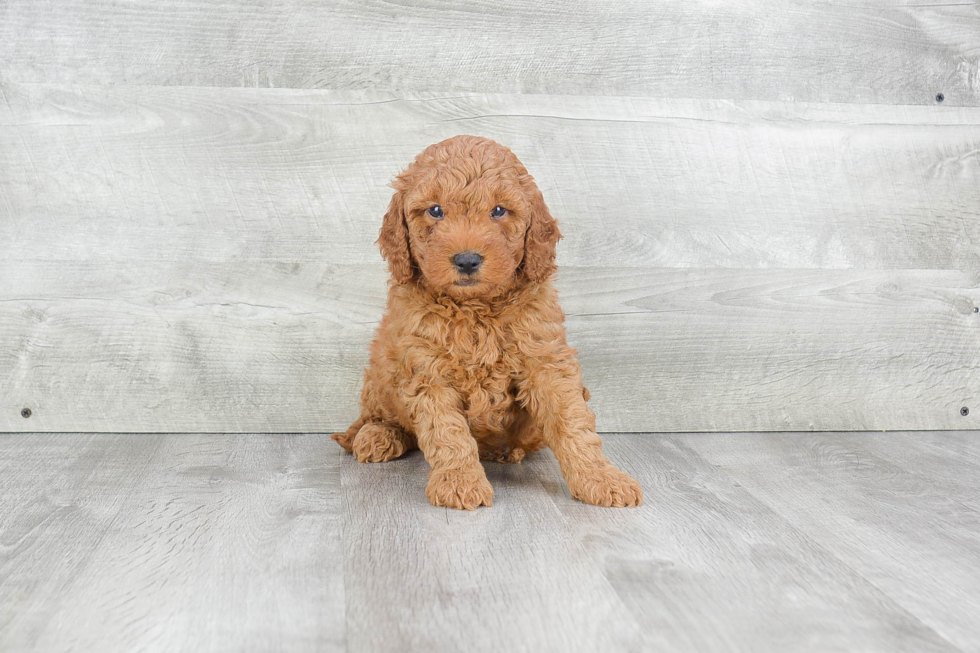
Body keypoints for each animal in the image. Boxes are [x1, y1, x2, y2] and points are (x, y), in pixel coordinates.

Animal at [334, 134, 644, 510]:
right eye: (435, 210)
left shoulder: (546, 360)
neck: (475, 309)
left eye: (498, 211)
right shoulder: (426, 369)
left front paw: (602, 478)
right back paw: (377, 435)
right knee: (376, 416)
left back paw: (506, 449)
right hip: (380, 370)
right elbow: (447, 432)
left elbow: (573, 423)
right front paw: (459, 482)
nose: (467, 260)